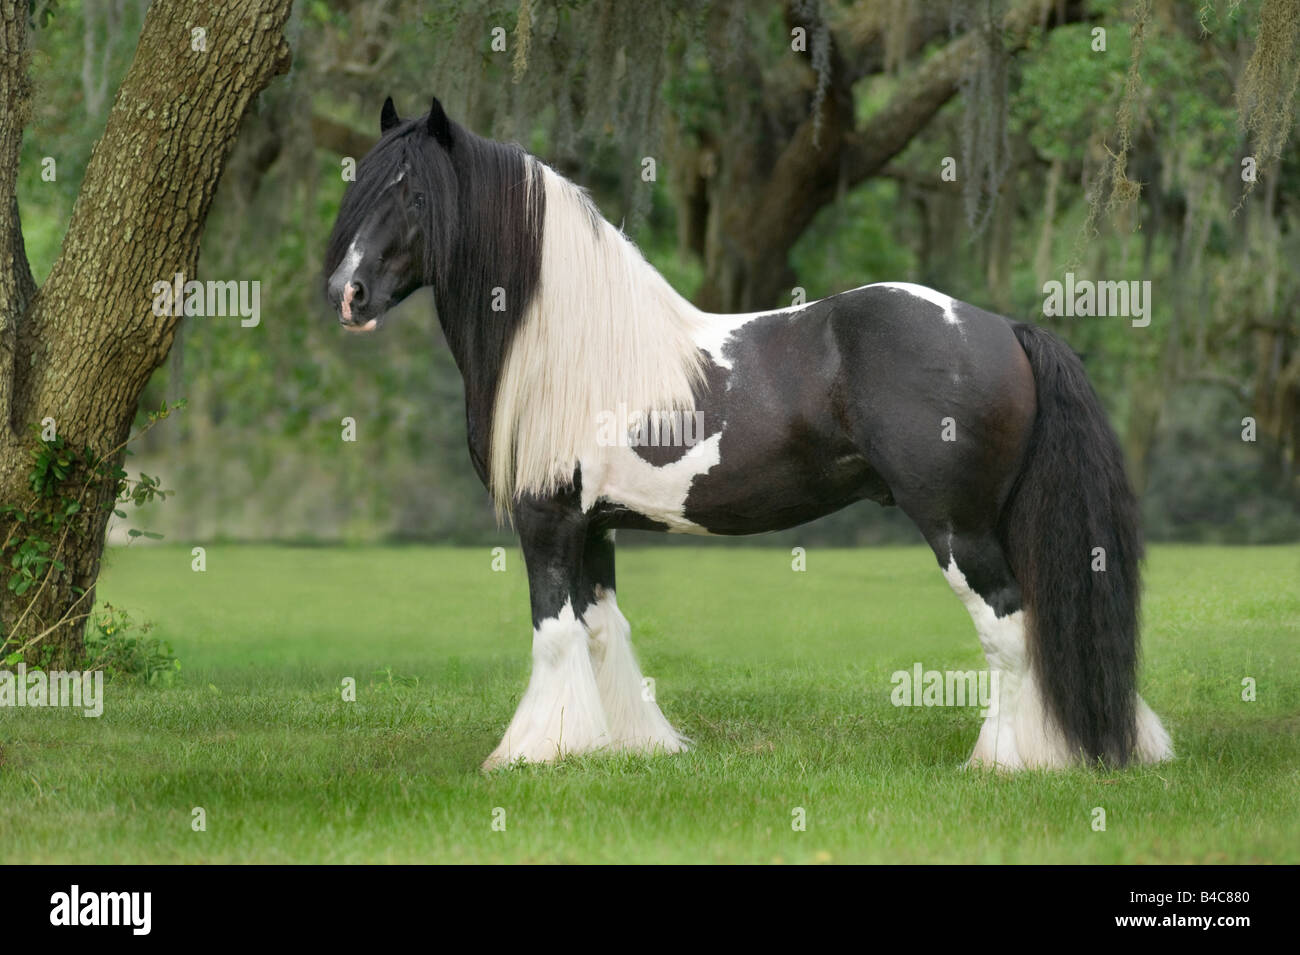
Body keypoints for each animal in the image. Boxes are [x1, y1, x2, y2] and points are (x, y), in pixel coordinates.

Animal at [323, 96, 1174, 771]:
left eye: (410, 191)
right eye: (359, 185)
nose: (346, 294)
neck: (574, 345)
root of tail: (1004, 328)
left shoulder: (547, 519)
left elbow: (555, 634)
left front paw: (535, 753)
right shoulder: (594, 527)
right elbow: (602, 632)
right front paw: (625, 747)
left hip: (958, 529)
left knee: (1009, 628)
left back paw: (1013, 761)